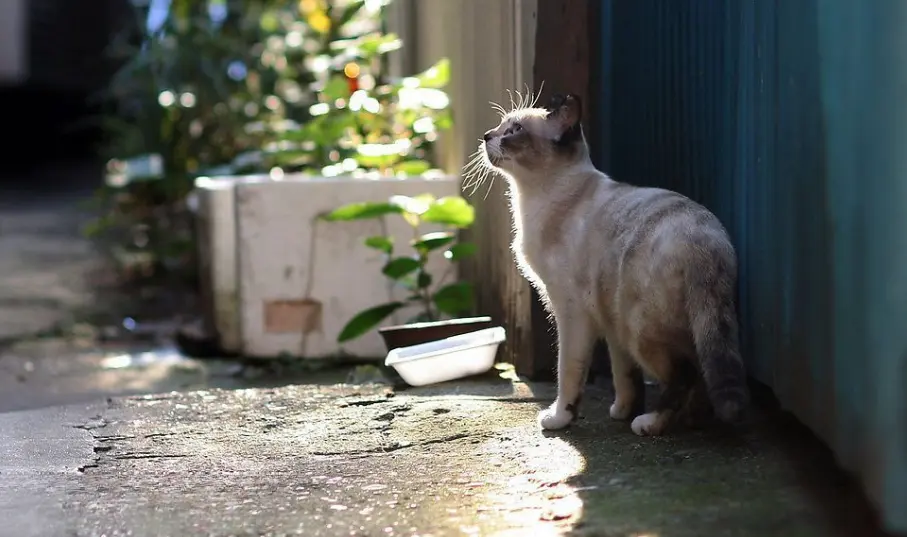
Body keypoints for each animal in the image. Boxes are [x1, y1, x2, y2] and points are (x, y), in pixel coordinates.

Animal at [464, 92, 748, 436]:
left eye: (514, 130)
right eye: (501, 126)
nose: (487, 136)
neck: (534, 198)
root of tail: (707, 242)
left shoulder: (571, 313)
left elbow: (568, 374)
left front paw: (559, 418)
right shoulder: (608, 323)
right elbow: (623, 375)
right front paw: (621, 411)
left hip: (638, 328)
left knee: (684, 374)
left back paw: (650, 424)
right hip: (632, 322)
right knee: (699, 374)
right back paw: (690, 420)